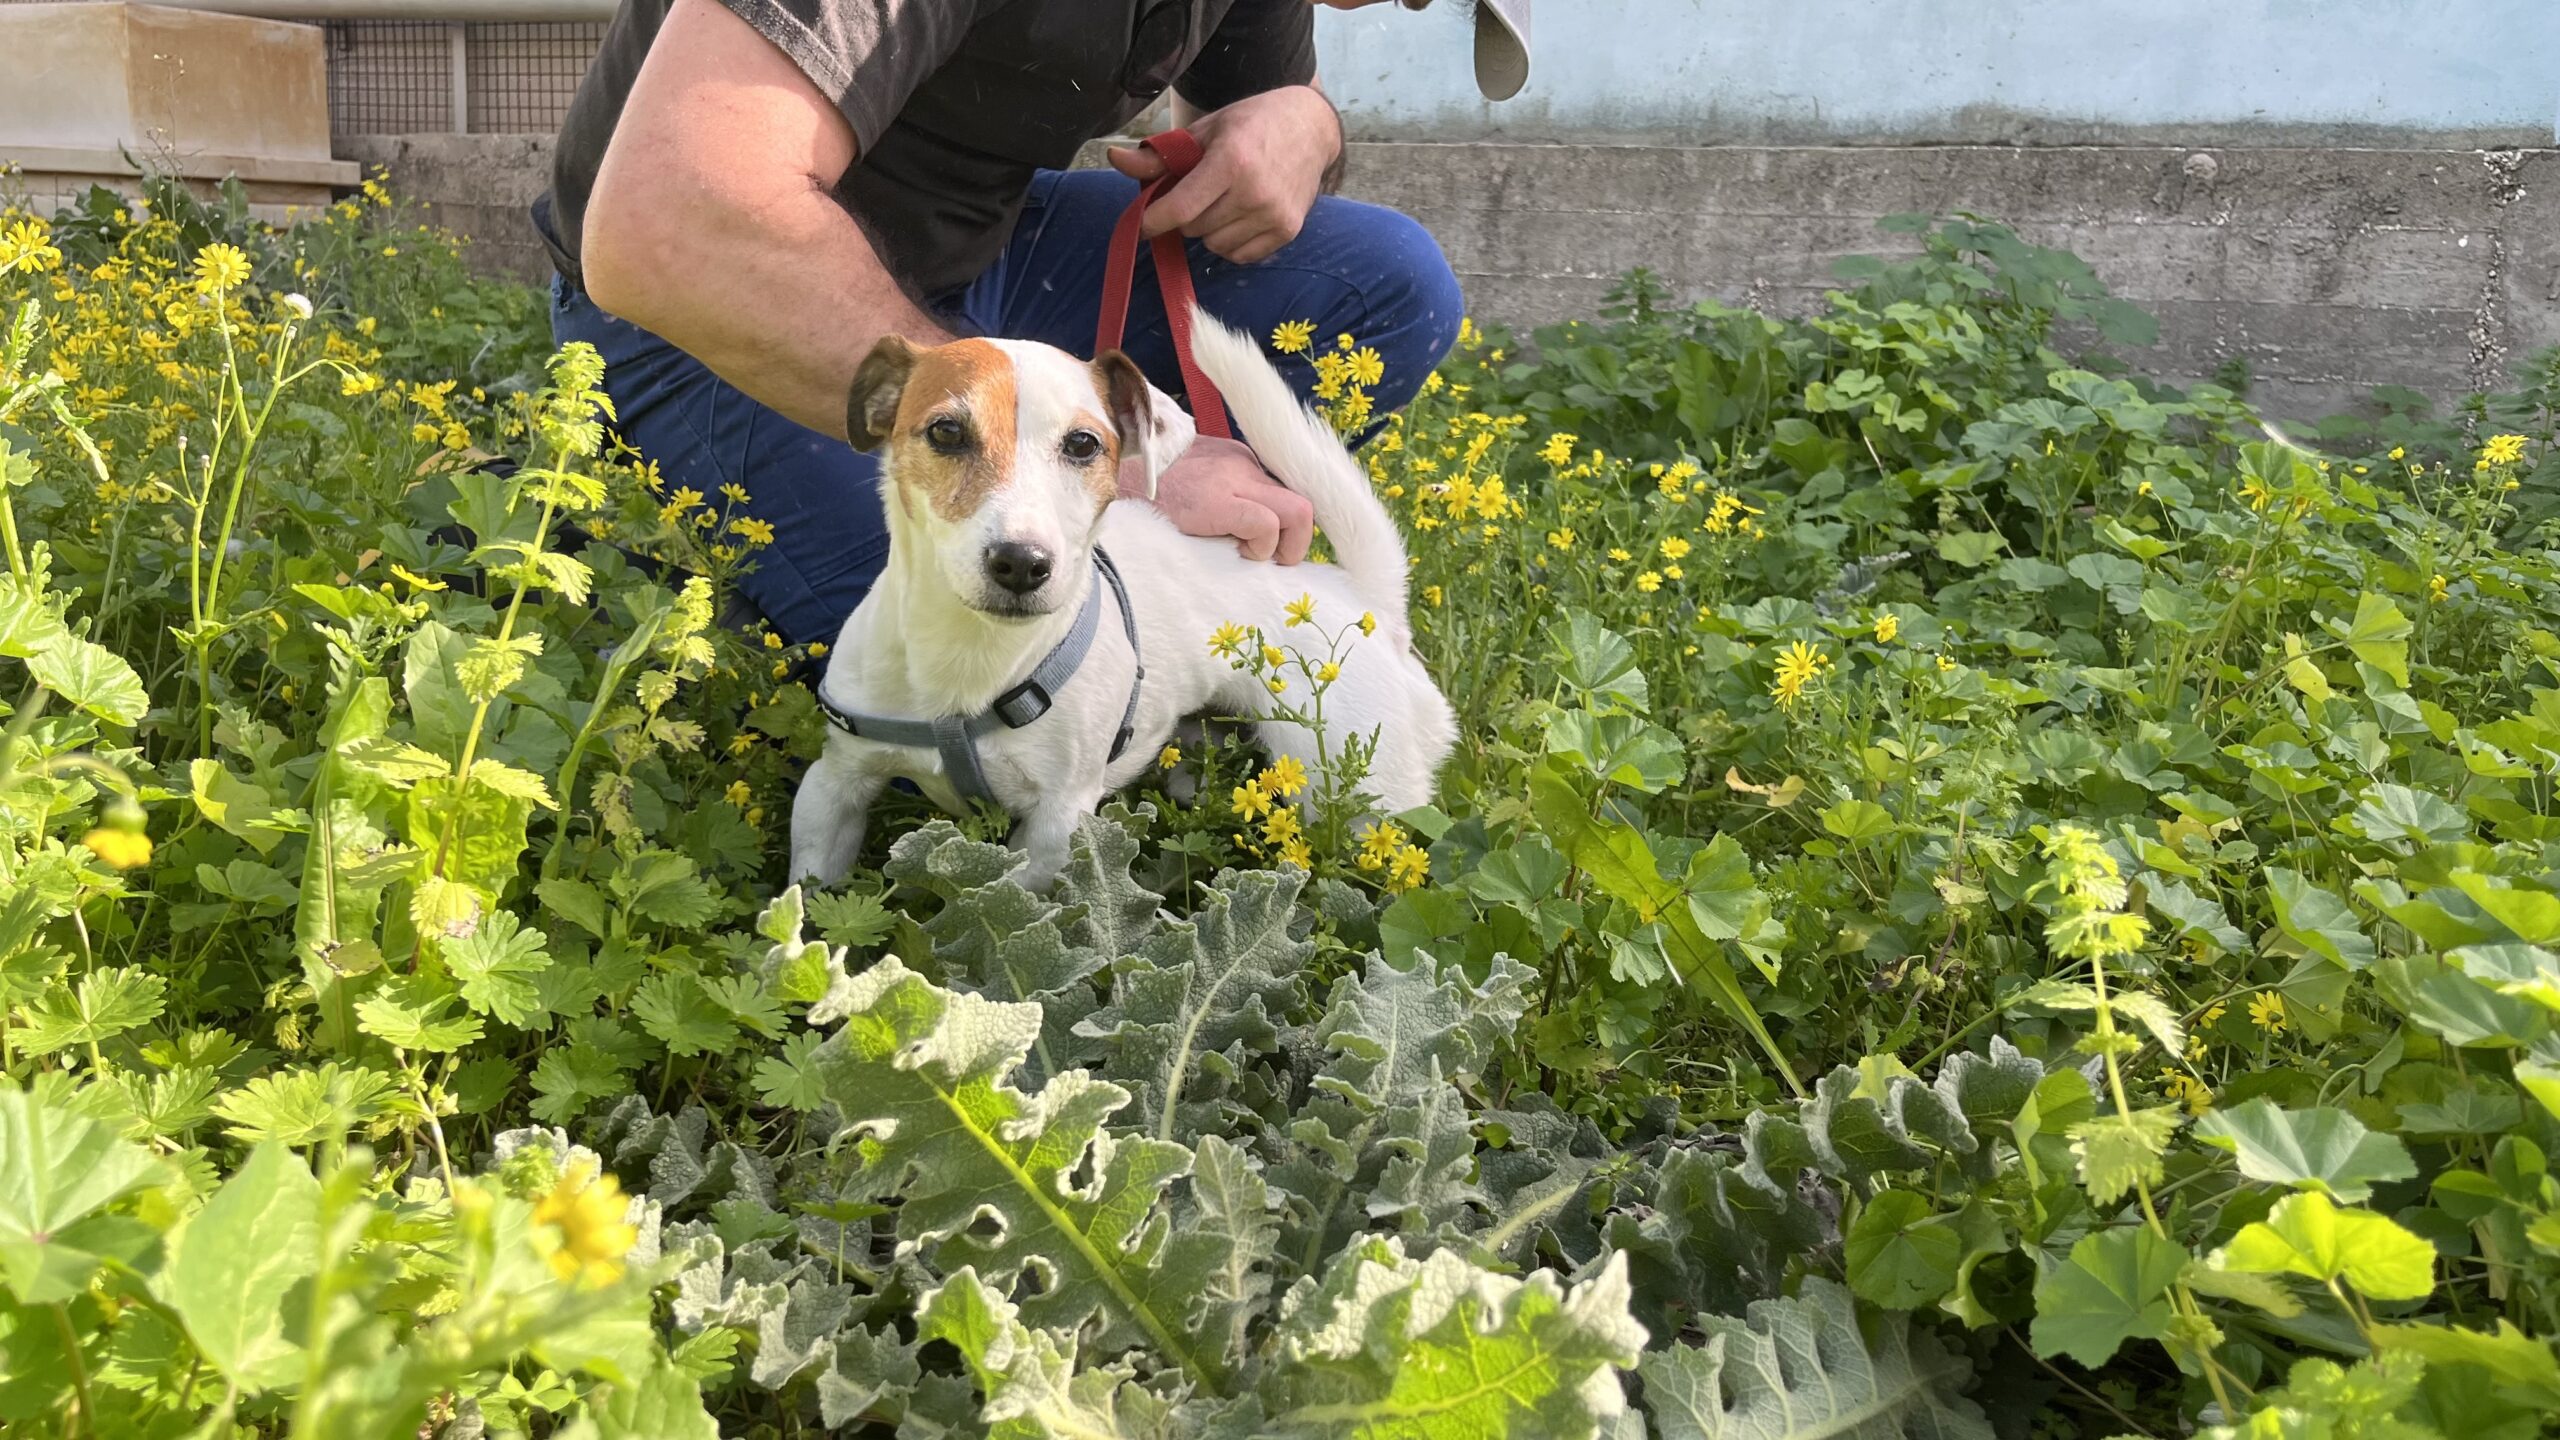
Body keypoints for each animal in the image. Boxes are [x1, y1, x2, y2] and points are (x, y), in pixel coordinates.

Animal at [787, 309, 1456, 890]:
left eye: (1084, 444)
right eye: (946, 431)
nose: (1022, 563)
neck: (970, 658)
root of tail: (1361, 596)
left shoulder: (1058, 823)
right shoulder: (833, 785)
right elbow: (810, 895)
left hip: (1356, 798)